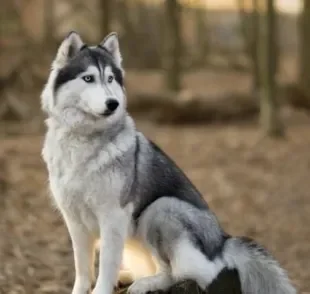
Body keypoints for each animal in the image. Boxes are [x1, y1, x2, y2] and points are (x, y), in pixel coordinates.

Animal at [41, 31, 296, 292]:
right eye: (88, 78)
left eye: (110, 79)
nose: (113, 103)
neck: (83, 139)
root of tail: (222, 242)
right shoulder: (74, 221)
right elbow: (83, 269)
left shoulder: (113, 217)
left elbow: (105, 266)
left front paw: (103, 288)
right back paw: (129, 277)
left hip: (160, 209)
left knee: (180, 273)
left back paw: (145, 283)